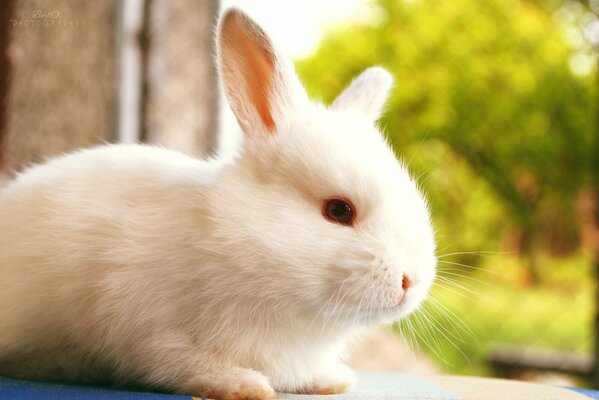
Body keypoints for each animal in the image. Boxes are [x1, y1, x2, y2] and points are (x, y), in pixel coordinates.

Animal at [0, 7, 436, 400]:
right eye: (339, 210)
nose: (410, 282)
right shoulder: (151, 331)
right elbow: (181, 363)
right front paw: (242, 385)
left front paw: (330, 380)